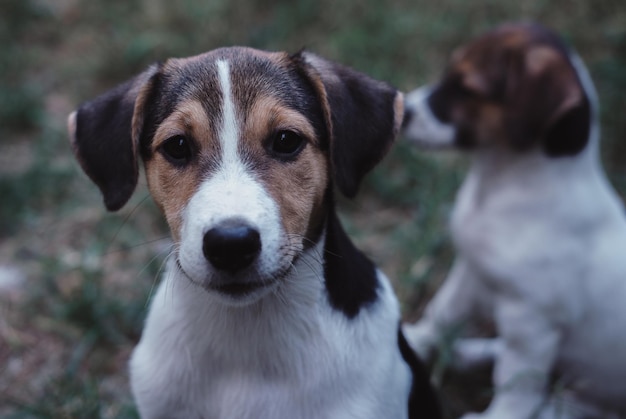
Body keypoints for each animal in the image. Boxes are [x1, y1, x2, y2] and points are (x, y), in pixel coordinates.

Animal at [400, 23, 624, 419]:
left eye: (466, 87)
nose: (404, 110)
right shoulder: (470, 272)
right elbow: (443, 312)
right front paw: (414, 341)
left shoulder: (532, 325)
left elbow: (517, 385)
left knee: (554, 403)